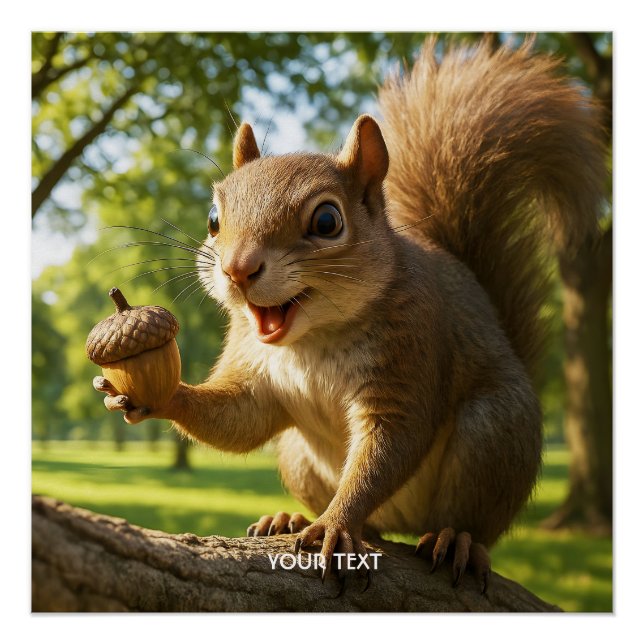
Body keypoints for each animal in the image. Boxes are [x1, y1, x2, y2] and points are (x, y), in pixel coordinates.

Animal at [94, 37, 605, 591]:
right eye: (213, 219)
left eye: (326, 221)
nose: (237, 269)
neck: (312, 339)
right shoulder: (253, 366)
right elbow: (239, 418)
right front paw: (156, 394)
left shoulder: (411, 352)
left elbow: (388, 446)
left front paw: (336, 526)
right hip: (297, 456)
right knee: (369, 521)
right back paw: (291, 517)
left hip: (494, 434)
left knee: (474, 521)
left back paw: (456, 540)